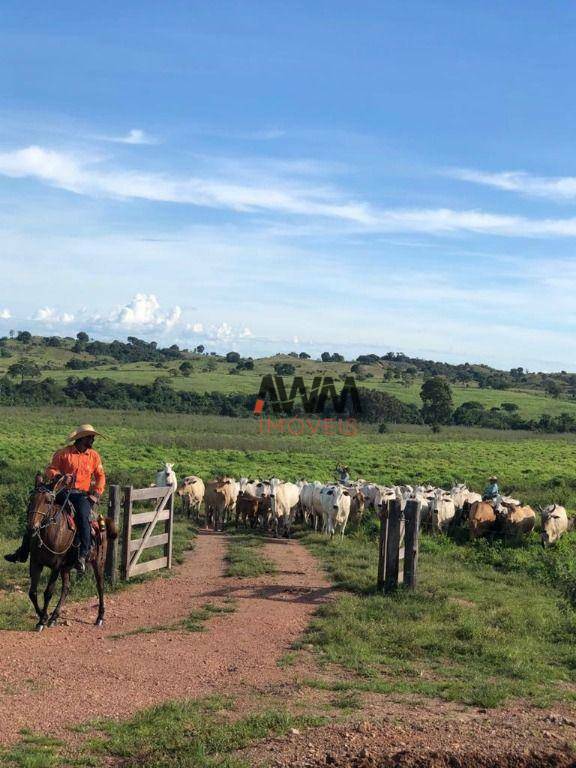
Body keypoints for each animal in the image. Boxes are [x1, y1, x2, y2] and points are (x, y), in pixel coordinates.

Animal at [27, 476, 117, 632]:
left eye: (48, 501)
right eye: (32, 498)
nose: (32, 526)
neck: (49, 532)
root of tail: (101, 521)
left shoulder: (56, 565)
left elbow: (48, 592)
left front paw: (42, 620)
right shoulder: (36, 563)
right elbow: (32, 592)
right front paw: (44, 617)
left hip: (98, 561)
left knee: (100, 586)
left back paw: (100, 617)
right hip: (66, 567)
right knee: (66, 588)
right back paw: (54, 617)